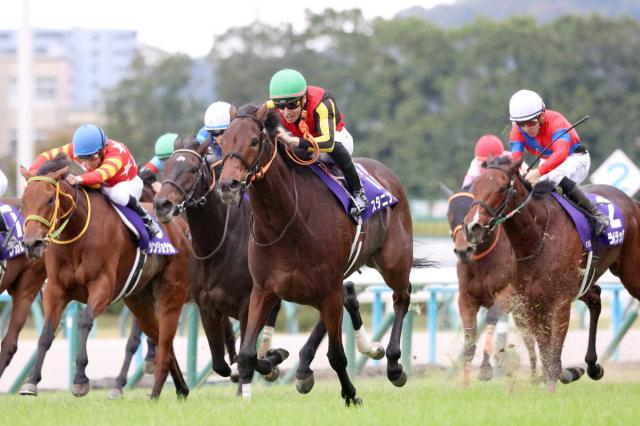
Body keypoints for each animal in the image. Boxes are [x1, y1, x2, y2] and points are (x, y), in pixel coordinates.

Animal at [18, 155, 191, 399]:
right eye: (24, 200)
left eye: (50, 199)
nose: (31, 244)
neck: (77, 234)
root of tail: (180, 226)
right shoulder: (55, 290)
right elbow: (46, 334)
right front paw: (31, 382)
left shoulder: (103, 287)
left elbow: (84, 321)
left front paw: (80, 380)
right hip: (139, 301)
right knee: (160, 336)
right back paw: (181, 387)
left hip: (171, 290)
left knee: (165, 335)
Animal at [153, 135, 385, 387]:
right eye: (166, 167)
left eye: (193, 169)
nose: (162, 204)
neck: (218, 244)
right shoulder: (208, 307)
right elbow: (221, 364)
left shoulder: (248, 302)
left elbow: (242, 357)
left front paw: (271, 360)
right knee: (345, 297)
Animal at [215, 104, 432, 405]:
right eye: (223, 142)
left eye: (254, 141)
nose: (228, 186)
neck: (287, 222)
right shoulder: (264, 289)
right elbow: (247, 354)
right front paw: (273, 359)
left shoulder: (327, 289)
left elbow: (337, 356)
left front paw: (351, 395)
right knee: (347, 298)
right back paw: (311, 367)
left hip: (393, 262)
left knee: (402, 297)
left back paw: (392, 364)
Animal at [441, 184, 537, 385]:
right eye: (449, 214)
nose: (464, 249)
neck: (482, 260)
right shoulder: (466, 298)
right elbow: (469, 337)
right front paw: (465, 382)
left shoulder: (507, 293)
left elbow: (492, 317)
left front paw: (485, 368)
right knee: (529, 338)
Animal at [463, 156, 640, 391]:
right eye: (475, 187)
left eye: (501, 188)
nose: (472, 227)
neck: (537, 238)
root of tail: (632, 202)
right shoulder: (532, 302)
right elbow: (546, 352)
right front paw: (564, 375)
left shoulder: (560, 302)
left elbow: (554, 353)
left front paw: (553, 387)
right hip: (584, 280)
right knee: (596, 299)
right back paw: (592, 366)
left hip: (631, 274)